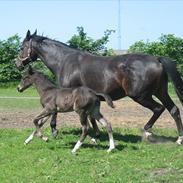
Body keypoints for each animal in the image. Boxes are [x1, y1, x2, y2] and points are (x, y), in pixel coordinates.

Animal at [15, 30, 183, 144]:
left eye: (21, 47)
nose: (17, 63)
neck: (65, 61)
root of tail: (157, 59)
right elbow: (91, 117)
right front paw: (95, 136)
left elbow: (55, 113)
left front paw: (54, 130)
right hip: (160, 92)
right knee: (174, 110)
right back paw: (179, 139)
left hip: (141, 96)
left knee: (159, 108)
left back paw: (147, 132)